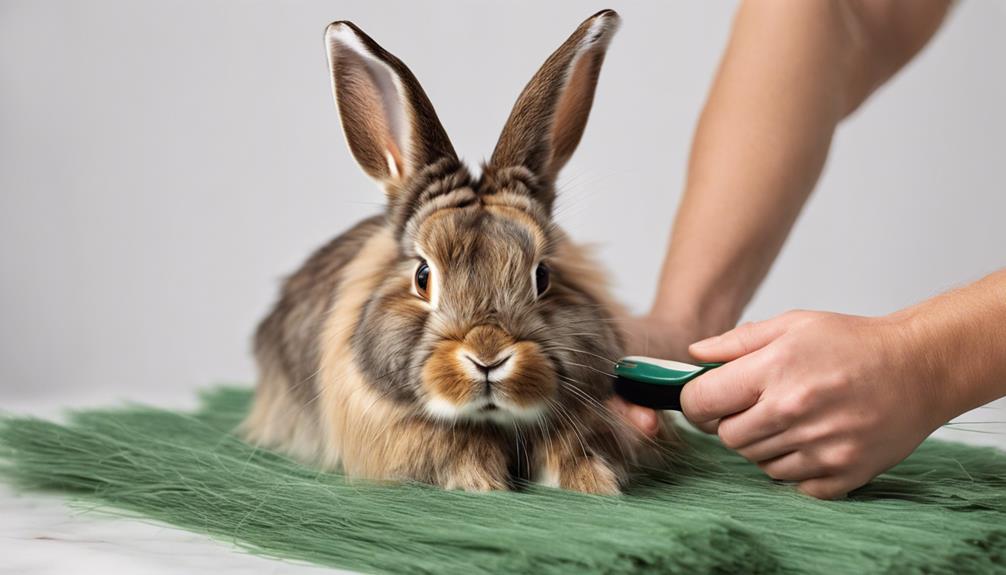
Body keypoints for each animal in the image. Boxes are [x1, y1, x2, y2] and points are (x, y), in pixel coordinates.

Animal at [239, 8, 672, 494]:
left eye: (542, 276)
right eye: (422, 277)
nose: (488, 357)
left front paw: (591, 480)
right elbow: (451, 447)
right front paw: (480, 478)